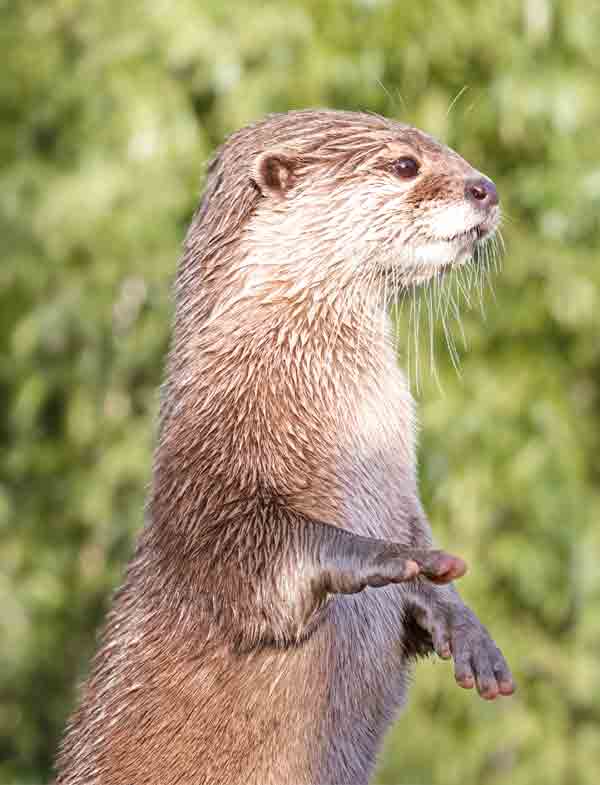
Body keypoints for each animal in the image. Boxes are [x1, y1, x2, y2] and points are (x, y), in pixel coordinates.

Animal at [56, 110, 512, 784]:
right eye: (406, 164)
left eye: (445, 147)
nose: (486, 188)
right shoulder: (203, 475)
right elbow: (246, 554)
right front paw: (383, 556)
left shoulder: (404, 494)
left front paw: (466, 630)